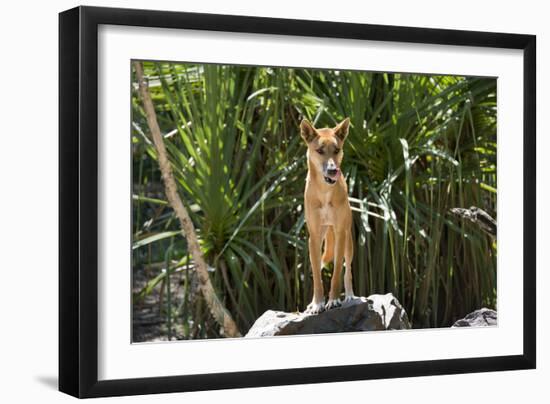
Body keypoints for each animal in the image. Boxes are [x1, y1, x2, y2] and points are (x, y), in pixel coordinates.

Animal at [300, 118, 356, 314]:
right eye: (320, 151)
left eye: (337, 150)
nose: (332, 170)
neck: (325, 193)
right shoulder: (314, 237)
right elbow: (317, 275)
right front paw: (317, 303)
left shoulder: (340, 234)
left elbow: (337, 272)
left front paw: (333, 300)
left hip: (348, 241)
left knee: (348, 271)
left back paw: (349, 296)